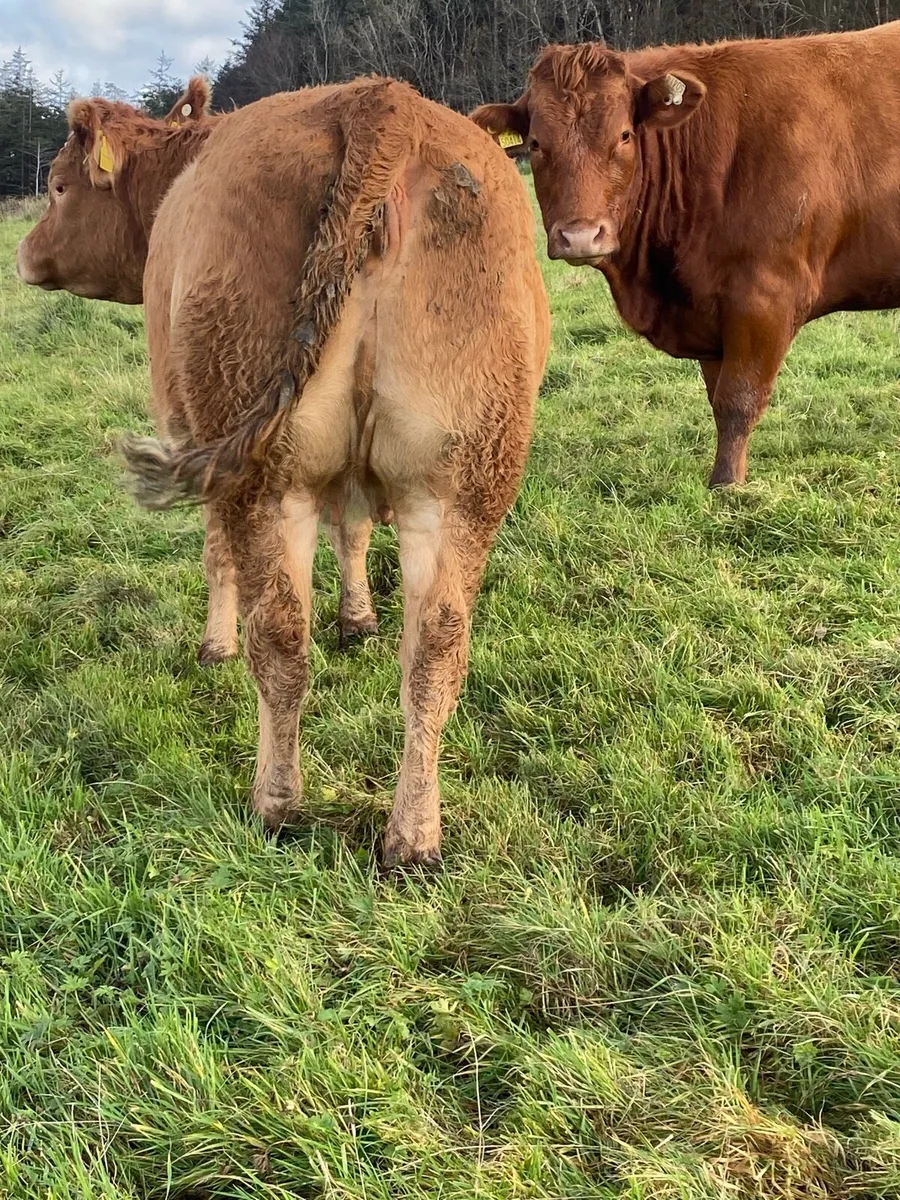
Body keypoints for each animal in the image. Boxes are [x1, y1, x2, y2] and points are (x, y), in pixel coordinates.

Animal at [16, 81, 383, 659]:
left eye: (58, 186)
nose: (22, 253)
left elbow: (220, 549)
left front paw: (218, 645)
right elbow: (351, 528)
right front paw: (358, 621)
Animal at [118, 78, 549, 865]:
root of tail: (379, 103)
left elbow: (219, 557)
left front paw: (215, 647)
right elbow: (352, 534)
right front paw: (359, 620)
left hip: (260, 474)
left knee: (279, 639)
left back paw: (275, 805)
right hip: (462, 481)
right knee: (436, 647)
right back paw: (413, 837)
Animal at [472, 23, 900, 487]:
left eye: (624, 135)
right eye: (536, 143)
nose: (581, 236)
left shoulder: (766, 299)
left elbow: (738, 400)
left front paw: (727, 485)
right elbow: (718, 399)